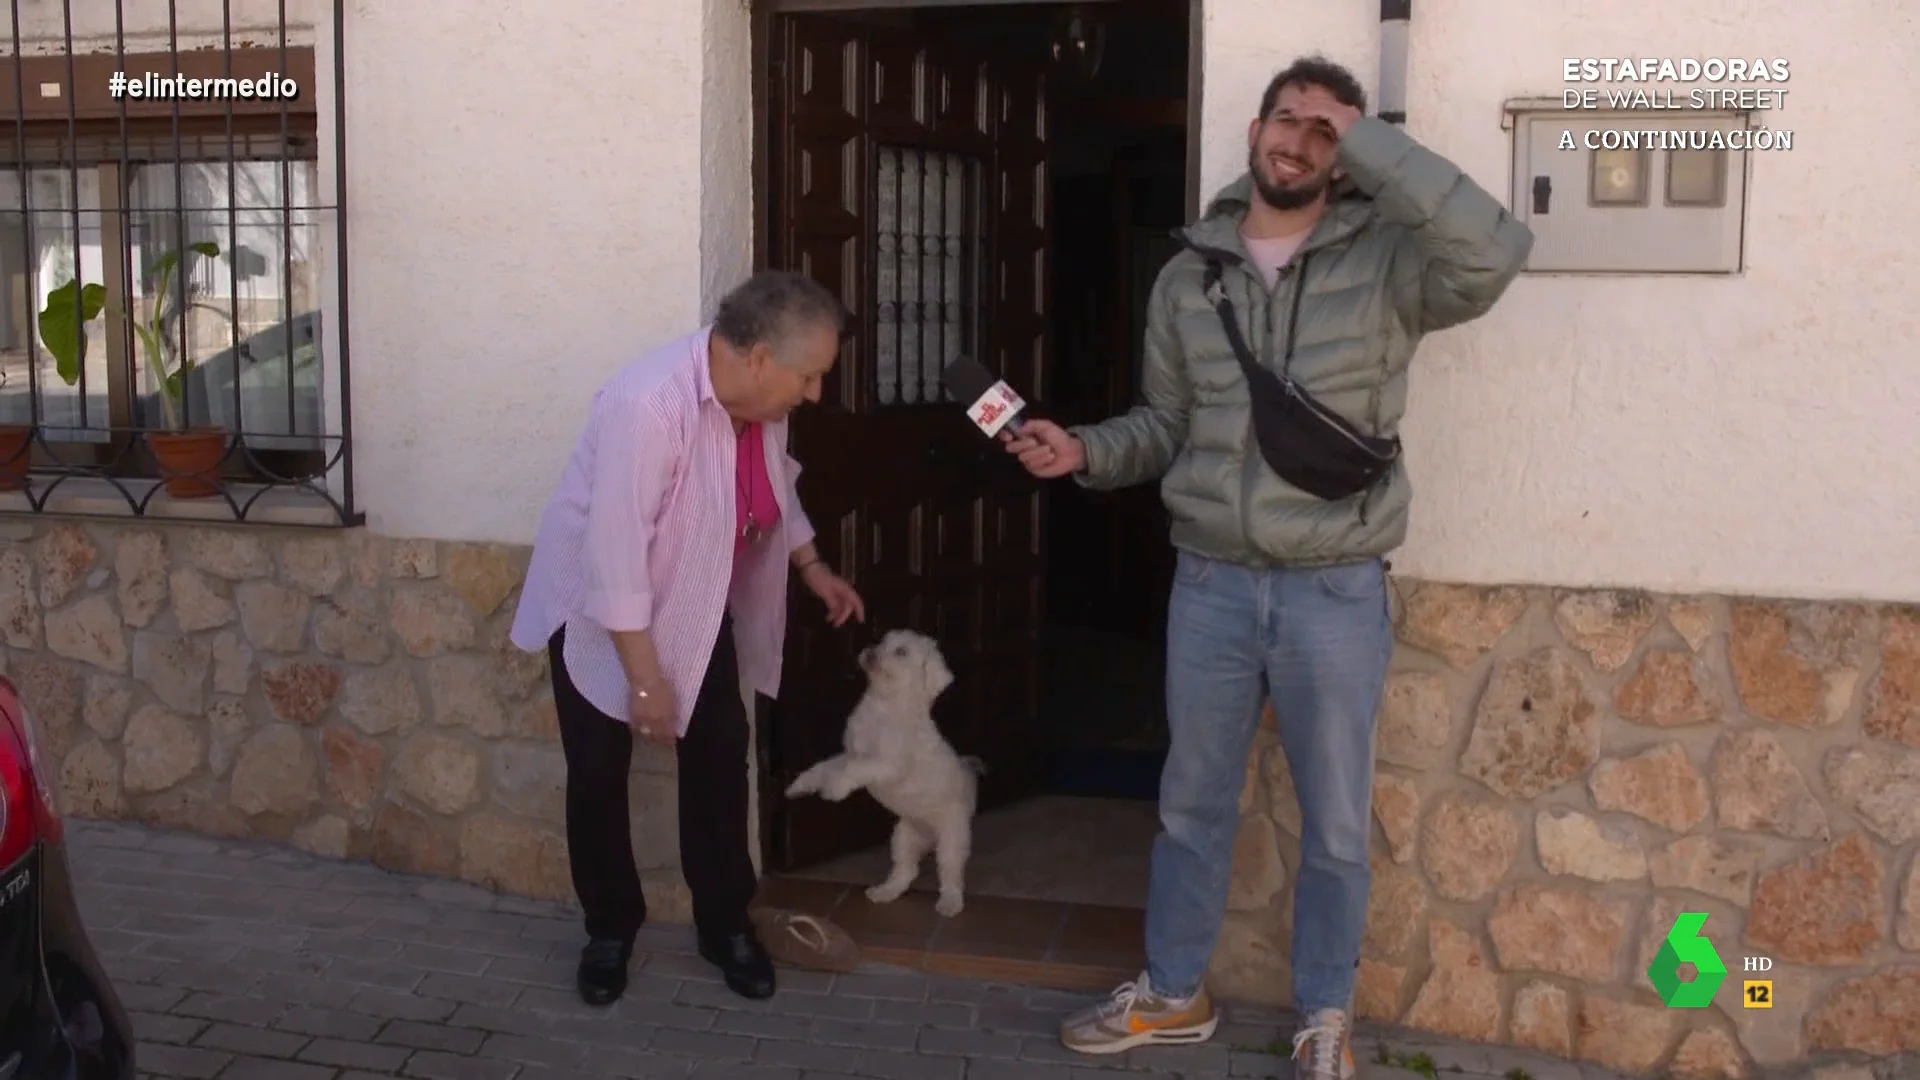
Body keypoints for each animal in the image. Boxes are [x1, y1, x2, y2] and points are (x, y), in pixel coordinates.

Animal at [787, 626, 983, 910]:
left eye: (901, 651)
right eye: (881, 641)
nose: (870, 652)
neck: (885, 704)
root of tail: (929, 838)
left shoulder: (887, 763)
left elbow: (854, 771)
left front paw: (835, 790)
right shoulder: (849, 754)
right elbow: (823, 767)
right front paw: (800, 786)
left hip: (952, 839)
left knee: (950, 873)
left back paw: (949, 903)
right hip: (902, 839)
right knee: (905, 871)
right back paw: (885, 892)